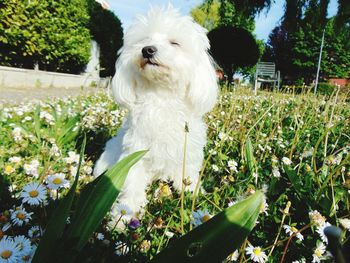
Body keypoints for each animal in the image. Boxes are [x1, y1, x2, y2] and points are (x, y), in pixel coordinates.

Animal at [94, 5, 217, 217]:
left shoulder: (187, 151)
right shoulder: (135, 153)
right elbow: (132, 185)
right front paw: (125, 214)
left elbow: (188, 175)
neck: (162, 96)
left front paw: (193, 194)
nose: (147, 49)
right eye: (144, 40)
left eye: (175, 43)